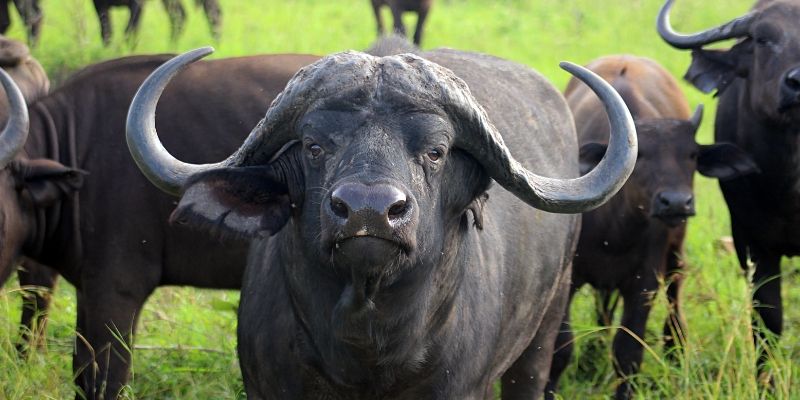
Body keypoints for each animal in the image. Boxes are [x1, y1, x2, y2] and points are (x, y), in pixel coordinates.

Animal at [544, 55, 757, 400]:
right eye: (640, 155)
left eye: (692, 155)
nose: (676, 202)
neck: (616, 228)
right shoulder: (568, 278)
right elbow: (559, 349)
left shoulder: (644, 282)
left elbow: (628, 351)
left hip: (676, 252)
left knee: (674, 294)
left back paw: (674, 347)